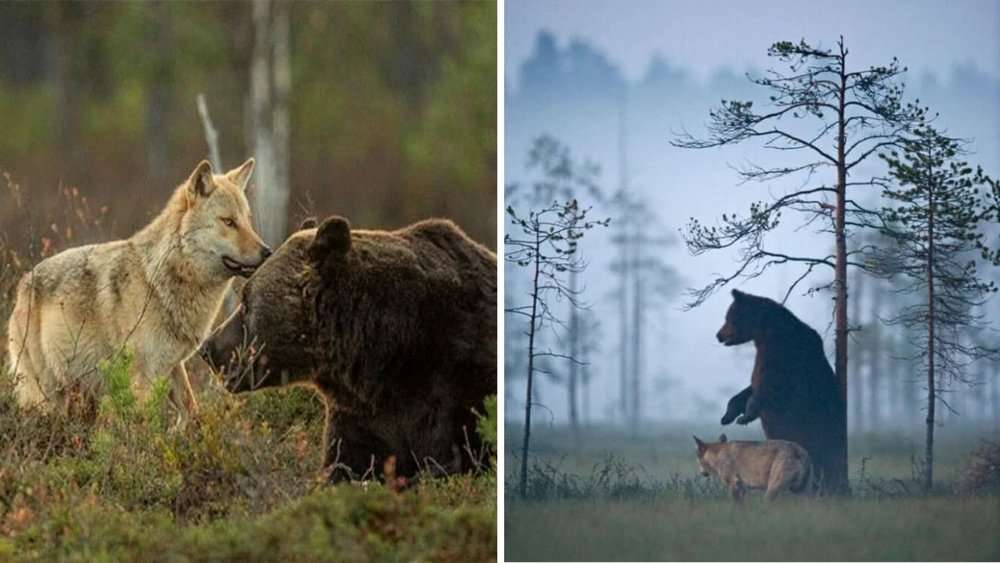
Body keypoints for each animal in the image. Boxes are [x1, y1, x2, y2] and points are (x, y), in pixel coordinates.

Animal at [6, 159, 271, 417]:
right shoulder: (141, 377)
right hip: (47, 397)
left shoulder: (173, 365)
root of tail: (22, 285)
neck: (157, 280)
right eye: (229, 222)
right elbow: (142, 423)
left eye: (247, 220)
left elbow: (191, 410)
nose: (267, 252)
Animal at [715, 289, 847, 493]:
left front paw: (745, 416)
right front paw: (728, 415)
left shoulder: (784, 356)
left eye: (729, 317)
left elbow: (770, 386)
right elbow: (749, 388)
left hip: (815, 432)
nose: (719, 335)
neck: (765, 334)